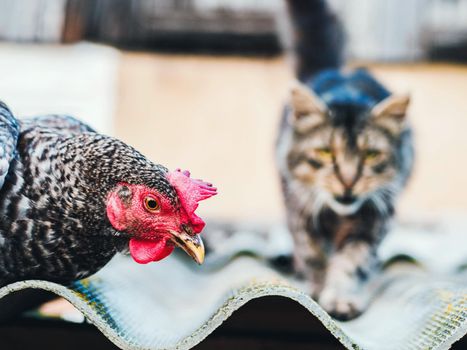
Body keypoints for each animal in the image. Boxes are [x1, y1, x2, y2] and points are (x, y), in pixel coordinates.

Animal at [276, 0, 414, 320]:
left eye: (371, 154)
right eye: (326, 153)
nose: (349, 181)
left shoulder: (373, 220)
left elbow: (352, 263)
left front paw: (340, 298)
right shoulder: (301, 211)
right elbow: (312, 254)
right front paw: (316, 289)